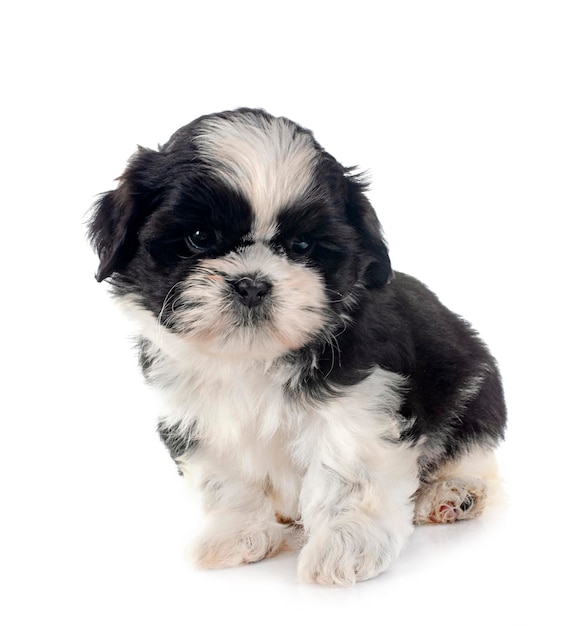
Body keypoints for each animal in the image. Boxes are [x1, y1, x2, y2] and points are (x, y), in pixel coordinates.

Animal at [88, 108, 506, 584]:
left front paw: (345, 542)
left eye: (302, 245)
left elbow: (348, 469)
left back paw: (453, 493)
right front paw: (236, 531)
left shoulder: (360, 400)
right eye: (198, 237)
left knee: (470, 449)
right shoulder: (195, 412)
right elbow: (225, 478)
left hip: (473, 385)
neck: (253, 356)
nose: (251, 284)